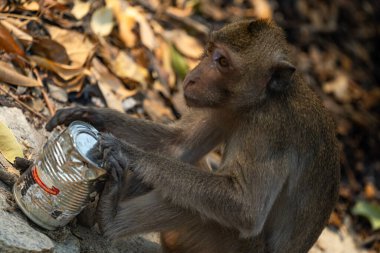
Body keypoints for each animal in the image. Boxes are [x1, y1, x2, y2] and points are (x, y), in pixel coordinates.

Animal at [46, 20, 340, 253]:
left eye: (223, 62)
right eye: (209, 51)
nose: (192, 78)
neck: (261, 101)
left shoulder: (268, 132)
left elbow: (246, 207)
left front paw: (125, 152)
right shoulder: (222, 108)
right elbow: (178, 145)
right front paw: (92, 116)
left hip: (232, 247)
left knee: (198, 205)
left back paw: (108, 218)